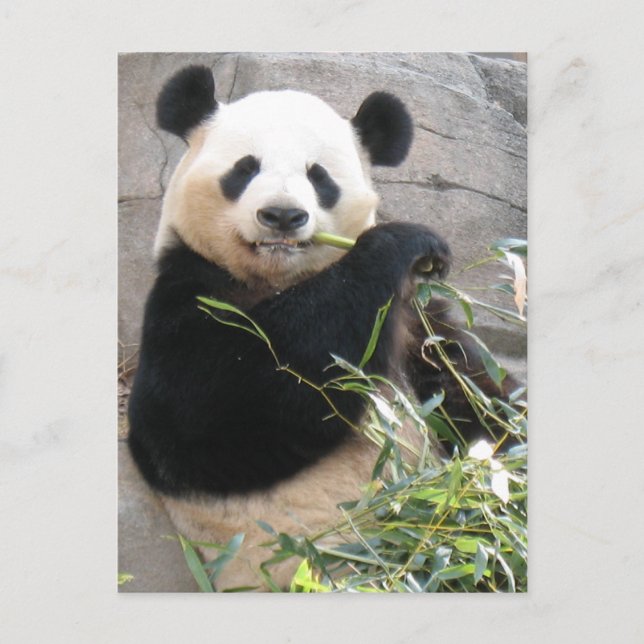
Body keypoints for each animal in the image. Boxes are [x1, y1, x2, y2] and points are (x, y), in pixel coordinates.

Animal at [127, 65, 513, 590]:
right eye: (245, 169)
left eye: (319, 176)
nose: (282, 216)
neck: (282, 279)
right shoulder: (190, 289)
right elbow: (210, 410)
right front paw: (406, 241)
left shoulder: (416, 324)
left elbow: (475, 396)